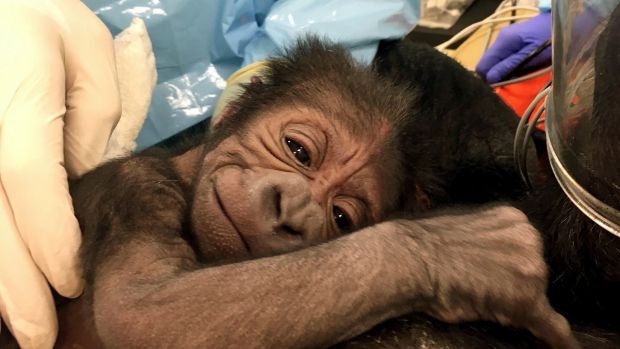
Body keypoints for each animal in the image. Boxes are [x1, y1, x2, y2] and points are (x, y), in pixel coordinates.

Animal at [48, 36, 576, 346]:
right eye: (298, 151)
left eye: (340, 217)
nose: (291, 211)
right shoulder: (137, 188)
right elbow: (141, 313)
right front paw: (461, 251)